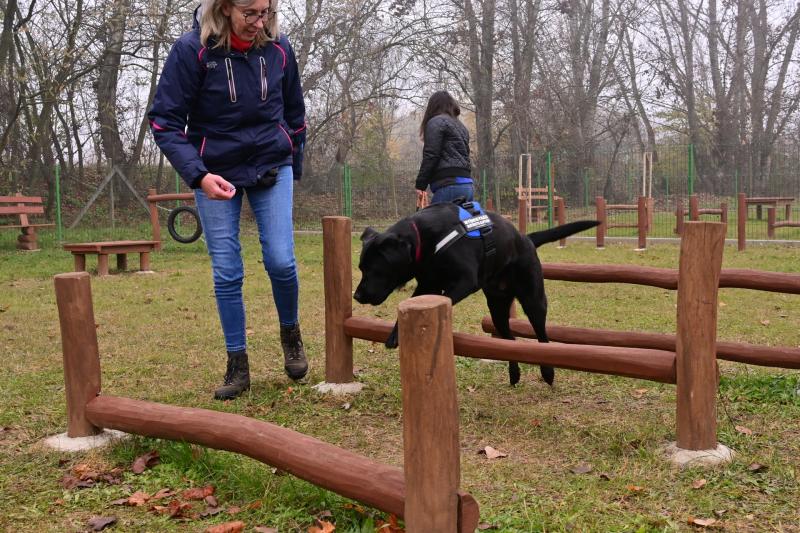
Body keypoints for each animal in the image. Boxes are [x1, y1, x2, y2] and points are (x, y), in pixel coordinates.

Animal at [354, 202, 596, 384]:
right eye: (360, 268)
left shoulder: (465, 280)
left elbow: (445, 297)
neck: (425, 239)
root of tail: (526, 239)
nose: (357, 296)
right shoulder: (427, 285)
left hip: (533, 299)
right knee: (509, 340)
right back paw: (514, 373)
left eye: (374, 270)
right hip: (497, 308)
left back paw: (548, 372)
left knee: (542, 337)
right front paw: (395, 334)